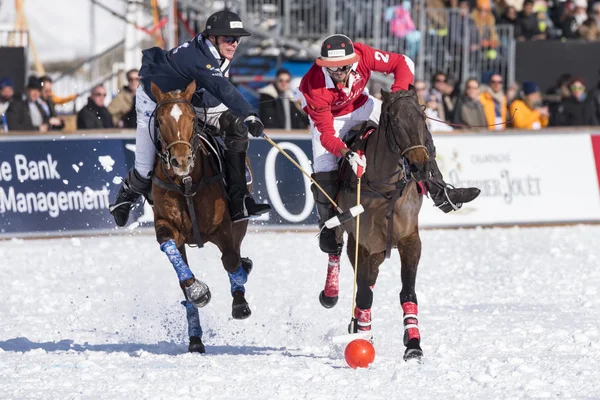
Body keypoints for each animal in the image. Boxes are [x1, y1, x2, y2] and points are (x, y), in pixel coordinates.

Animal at [151, 81, 254, 354]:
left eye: (191, 119)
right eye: (160, 121)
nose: (181, 161)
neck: (187, 183)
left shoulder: (224, 228)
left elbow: (231, 261)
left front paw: (240, 302)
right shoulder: (167, 226)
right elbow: (178, 265)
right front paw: (197, 291)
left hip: (241, 221)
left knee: (236, 254)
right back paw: (195, 337)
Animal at [336, 89, 428, 360]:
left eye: (422, 117)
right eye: (396, 121)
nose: (420, 166)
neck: (385, 191)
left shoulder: (410, 240)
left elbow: (408, 292)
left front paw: (413, 344)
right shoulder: (360, 244)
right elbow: (364, 294)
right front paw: (363, 337)